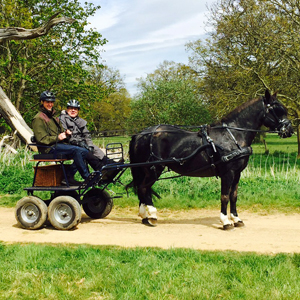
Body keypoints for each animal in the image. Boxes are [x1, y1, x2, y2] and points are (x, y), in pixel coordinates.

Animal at [129, 89, 292, 230]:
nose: (289, 130)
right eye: (277, 109)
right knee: (143, 188)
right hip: (153, 169)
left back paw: (145, 216)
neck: (233, 136)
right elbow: (225, 196)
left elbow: (233, 196)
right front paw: (226, 221)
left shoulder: (237, 173)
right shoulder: (228, 173)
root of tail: (141, 134)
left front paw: (236, 219)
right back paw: (152, 215)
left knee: (143, 189)